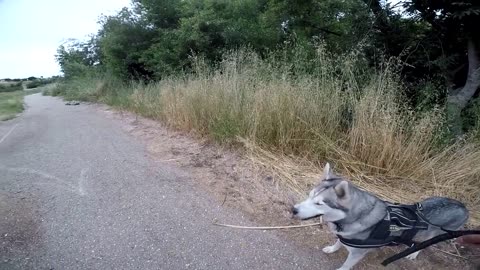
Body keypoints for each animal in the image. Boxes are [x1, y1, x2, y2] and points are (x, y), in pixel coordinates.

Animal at [292, 163, 468, 268]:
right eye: (309, 195)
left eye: (319, 204)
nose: (293, 209)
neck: (356, 217)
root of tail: (463, 207)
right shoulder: (344, 235)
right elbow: (338, 242)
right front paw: (332, 248)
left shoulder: (356, 254)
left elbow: (346, 265)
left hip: (436, 235)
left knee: (426, 244)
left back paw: (414, 253)